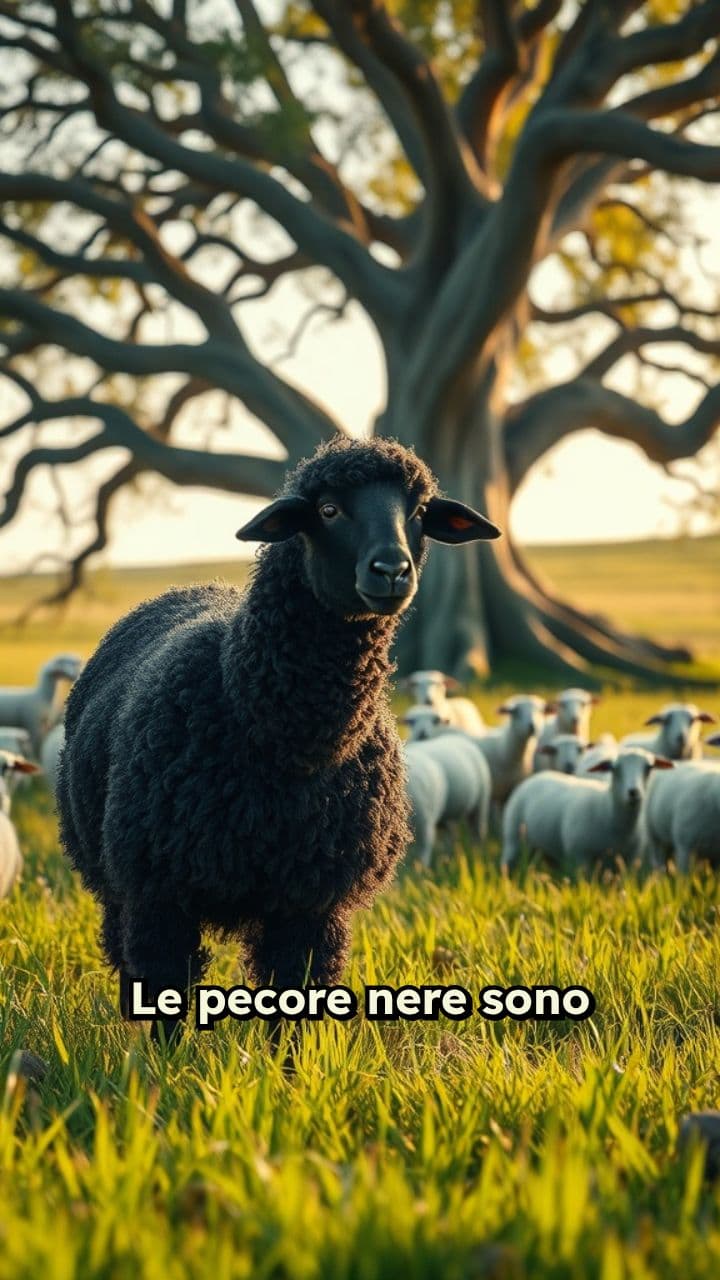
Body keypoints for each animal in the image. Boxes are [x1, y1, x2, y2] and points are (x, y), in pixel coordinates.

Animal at [501, 747, 671, 875]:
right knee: (507, 864)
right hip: (513, 838)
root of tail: (536, 777)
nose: (633, 792)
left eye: (649, 767)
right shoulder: (581, 858)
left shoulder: (627, 861)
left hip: (546, 847)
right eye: (614, 768)